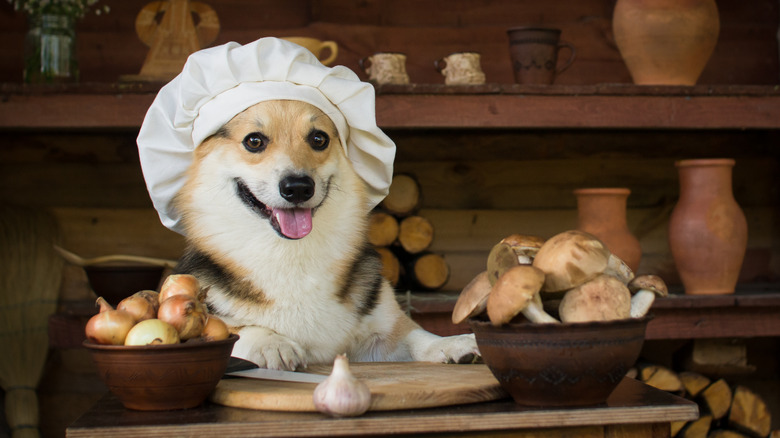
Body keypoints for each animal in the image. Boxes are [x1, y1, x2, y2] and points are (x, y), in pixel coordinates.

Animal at [174, 98, 478, 370]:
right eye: (254, 141)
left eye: (319, 139)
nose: (298, 187)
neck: (291, 254)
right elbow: (236, 330)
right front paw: (270, 342)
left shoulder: (383, 332)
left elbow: (417, 336)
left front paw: (454, 343)